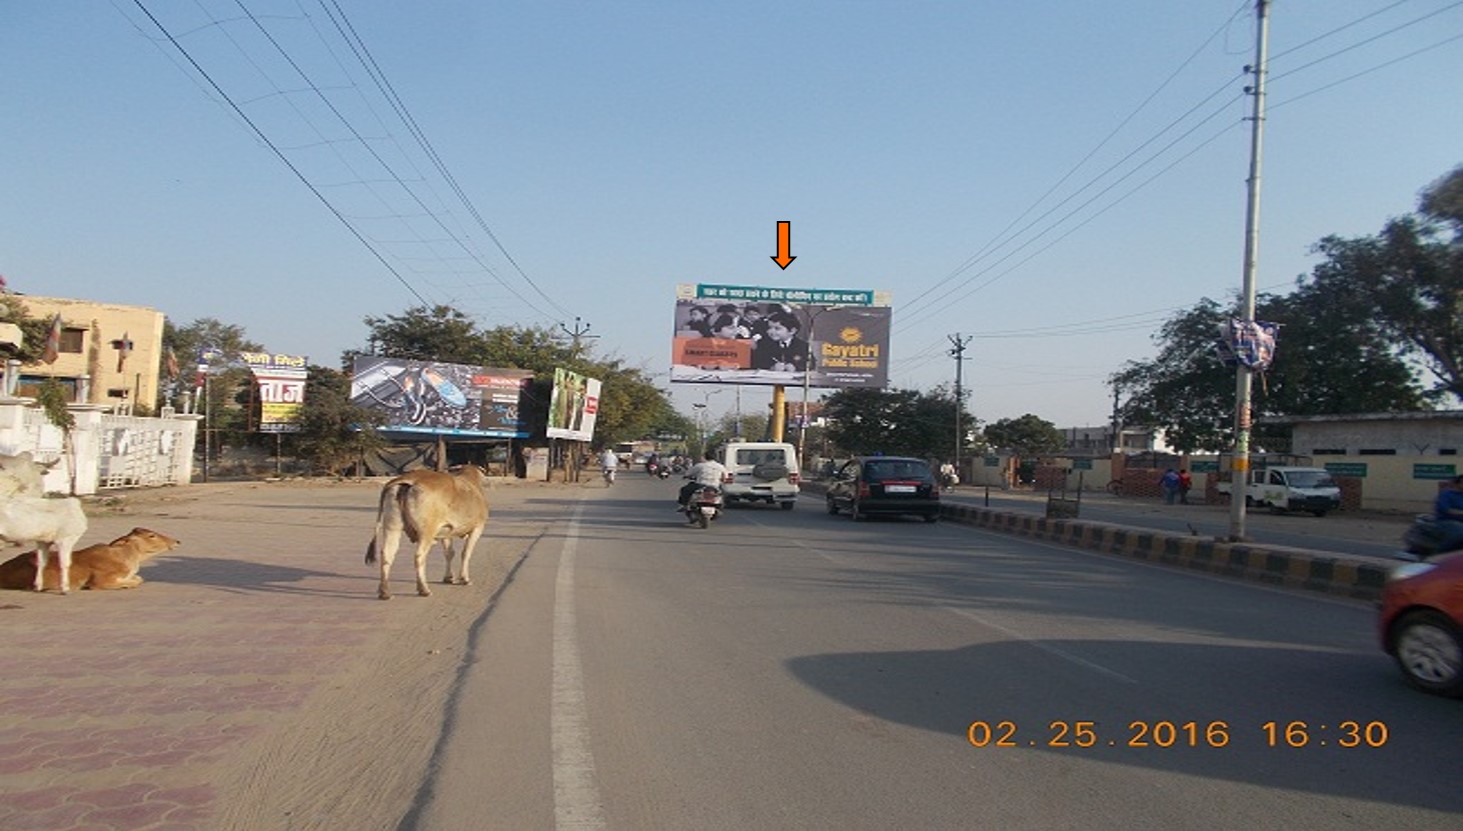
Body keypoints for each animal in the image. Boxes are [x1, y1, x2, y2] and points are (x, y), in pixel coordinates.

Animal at [362, 468, 488, 596]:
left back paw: (385, 592)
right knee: (419, 556)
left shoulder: (447, 532)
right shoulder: (478, 528)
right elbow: (465, 553)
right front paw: (464, 579)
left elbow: (449, 553)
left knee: (387, 554)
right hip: (426, 532)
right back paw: (423, 588)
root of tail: (409, 479)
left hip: (392, 527)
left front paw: (448, 577)